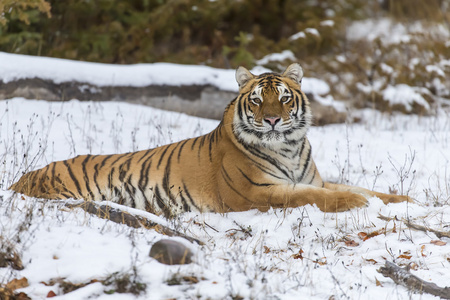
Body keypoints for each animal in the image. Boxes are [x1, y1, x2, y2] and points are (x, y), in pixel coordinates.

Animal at [7, 63, 412, 218]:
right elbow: (313, 197)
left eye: (284, 98)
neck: (289, 146)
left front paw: (406, 201)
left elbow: (367, 188)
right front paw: (355, 202)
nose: (272, 120)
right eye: (256, 100)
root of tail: (21, 179)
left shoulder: (314, 178)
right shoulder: (257, 193)